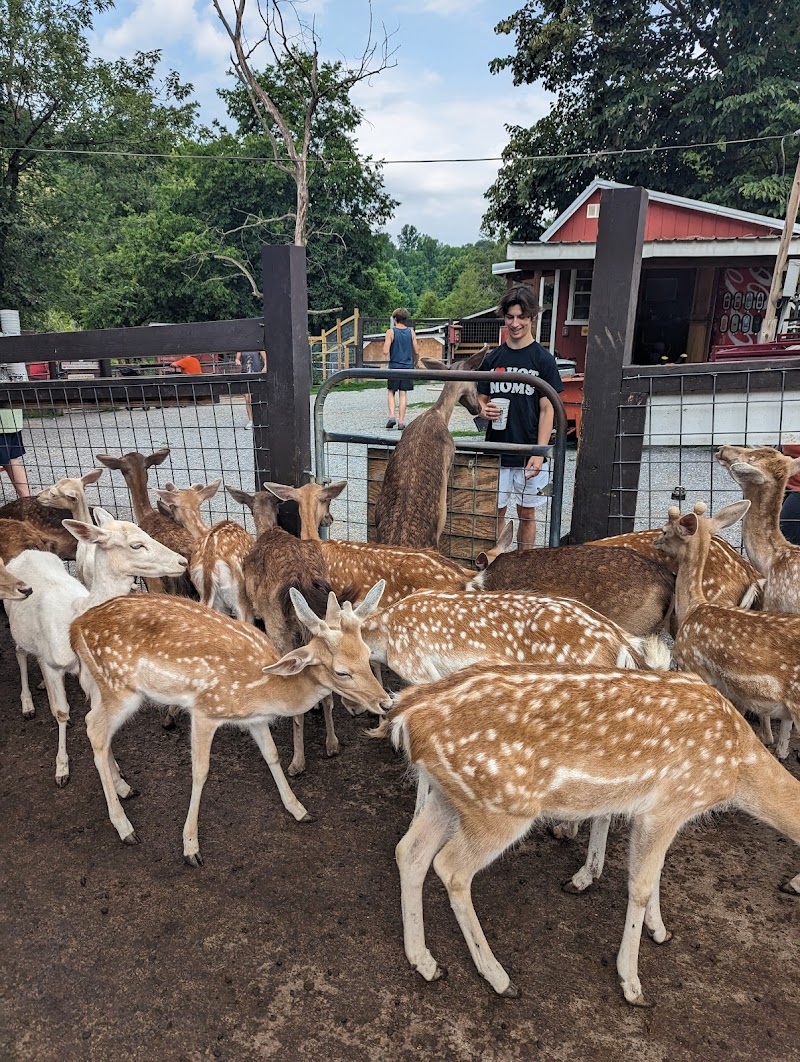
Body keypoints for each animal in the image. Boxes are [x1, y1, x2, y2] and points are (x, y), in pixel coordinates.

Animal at [4, 509, 187, 785]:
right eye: (136, 544)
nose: (182, 561)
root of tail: (26, 553)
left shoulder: (93, 675)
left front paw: (120, 779)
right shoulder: (53, 663)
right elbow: (62, 711)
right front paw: (62, 769)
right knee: (20, 652)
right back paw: (28, 704)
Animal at [70, 583, 391, 865]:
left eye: (367, 654)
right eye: (342, 672)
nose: (385, 703)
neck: (265, 689)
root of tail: (75, 628)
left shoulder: (254, 719)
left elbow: (272, 755)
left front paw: (299, 809)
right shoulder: (206, 710)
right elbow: (200, 772)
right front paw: (190, 847)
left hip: (107, 687)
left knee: (95, 725)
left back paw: (124, 787)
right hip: (120, 687)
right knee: (94, 728)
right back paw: (125, 827)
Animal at [374, 662, 800, 1005]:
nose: (791, 884)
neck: (738, 770)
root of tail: (405, 716)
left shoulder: (660, 813)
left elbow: (657, 873)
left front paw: (660, 931)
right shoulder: (667, 805)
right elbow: (640, 885)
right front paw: (633, 985)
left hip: (451, 797)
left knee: (409, 851)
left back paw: (426, 963)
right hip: (501, 807)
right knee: (451, 867)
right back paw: (500, 979)